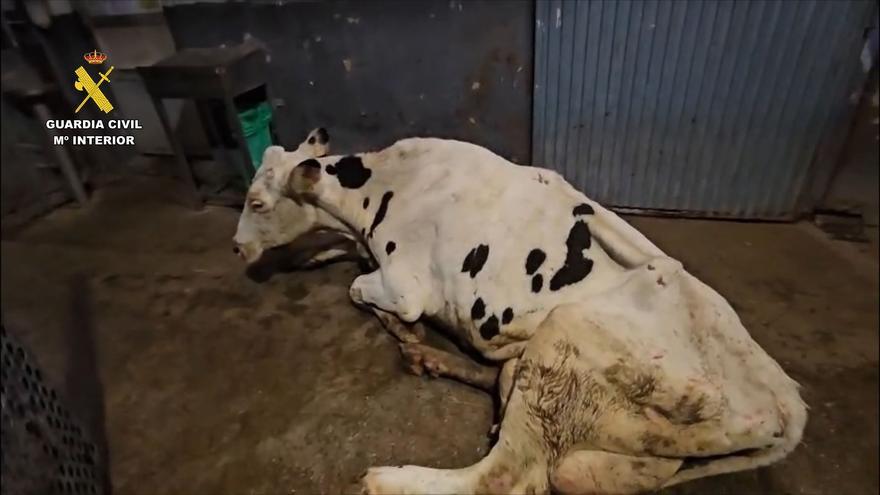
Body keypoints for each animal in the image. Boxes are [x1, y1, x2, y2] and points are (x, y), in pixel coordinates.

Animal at [263, 137, 808, 495]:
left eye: (257, 203)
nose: (246, 253)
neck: (388, 181)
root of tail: (787, 403)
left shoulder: (405, 280)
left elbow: (361, 289)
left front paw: (398, 323)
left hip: (568, 339)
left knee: (506, 473)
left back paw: (387, 479)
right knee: (506, 386)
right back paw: (431, 360)